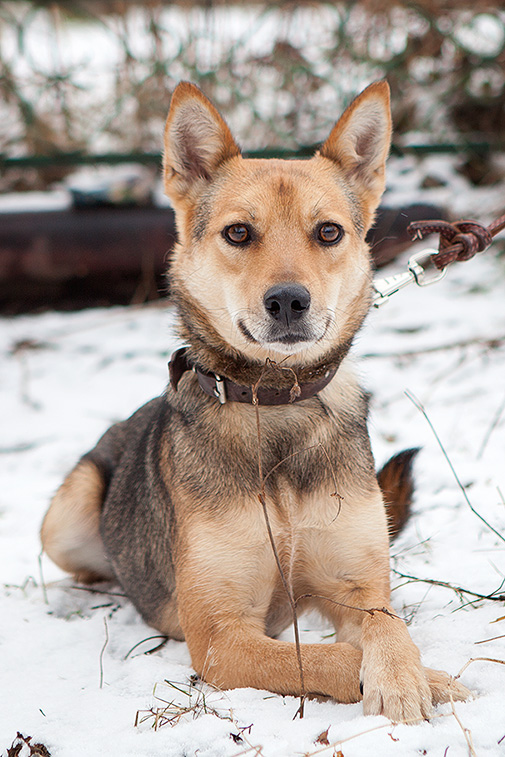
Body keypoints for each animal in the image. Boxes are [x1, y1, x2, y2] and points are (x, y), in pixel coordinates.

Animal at [40, 82, 468, 720]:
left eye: (329, 233)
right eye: (239, 233)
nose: (288, 300)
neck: (277, 402)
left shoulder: (360, 589)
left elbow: (390, 627)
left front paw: (406, 673)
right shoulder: (222, 636)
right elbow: (320, 658)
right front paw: (422, 680)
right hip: (66, 514)